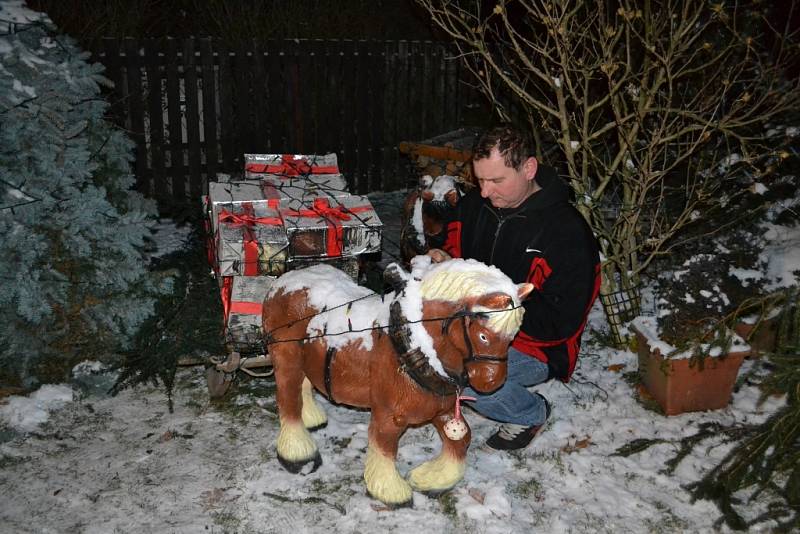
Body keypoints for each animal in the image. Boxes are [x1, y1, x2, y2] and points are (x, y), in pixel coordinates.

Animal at [262, 258, 532, 508]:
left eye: (513, 335)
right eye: (484, 335)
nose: (492, 381)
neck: (417, 344)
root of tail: (282, 282)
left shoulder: (441, 408)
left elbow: (461, 439)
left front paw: (432, 478)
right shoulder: (389, 414)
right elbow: (385, 446)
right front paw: (389, 491)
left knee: (304, 385)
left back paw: (312, 418)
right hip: (285, 356)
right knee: (288, 397)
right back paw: (298, 453)